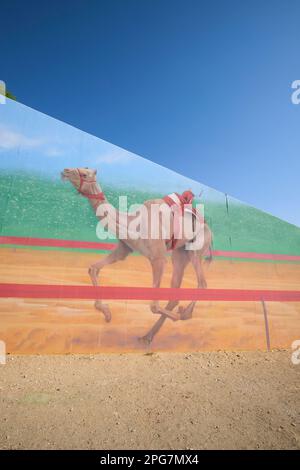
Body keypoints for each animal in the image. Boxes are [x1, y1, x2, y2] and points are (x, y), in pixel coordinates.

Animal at [61, 167, 212, 344]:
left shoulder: (158, 258)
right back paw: (148, 336)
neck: (135, 223)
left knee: (202, 283)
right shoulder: (124, 248)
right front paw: (106, 313)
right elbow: (93, 268)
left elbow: (154, 305)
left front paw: (180, 315)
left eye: (85, 174)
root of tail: (208, 226)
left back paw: (185, 313)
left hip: (197, 248)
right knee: (176, 290)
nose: (65, 171)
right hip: (179, 252)